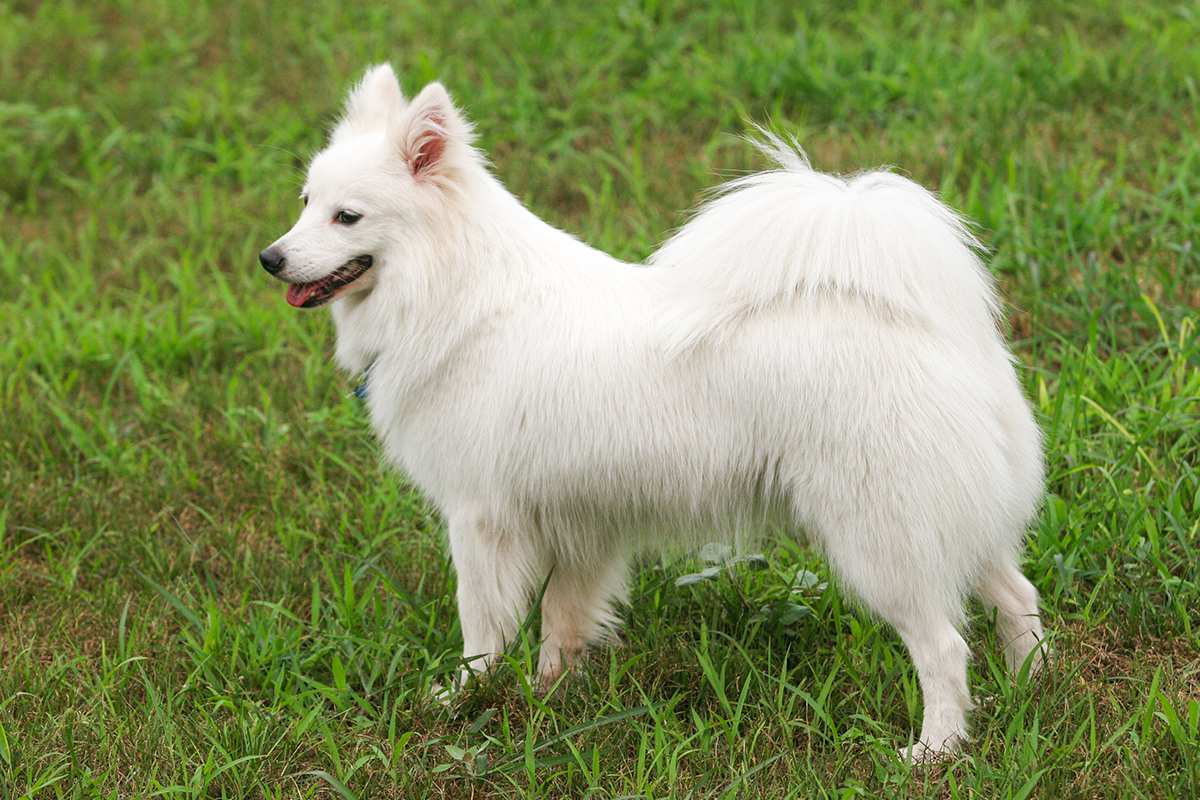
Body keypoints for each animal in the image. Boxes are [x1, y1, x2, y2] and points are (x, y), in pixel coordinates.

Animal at [260, 64, 1041, 758]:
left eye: (346, 216)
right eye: (303, 201)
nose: (270, 258)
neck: (456, 289)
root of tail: (937, 331)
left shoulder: (481, 519)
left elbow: (481, 628)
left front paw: (461, 700)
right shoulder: (581, 521)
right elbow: (562, 619)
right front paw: (549, 700)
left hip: (880, 538)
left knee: (943, 646)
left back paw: (936, 749)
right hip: (949, 521)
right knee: (1016, 594)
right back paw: (1030, 687)